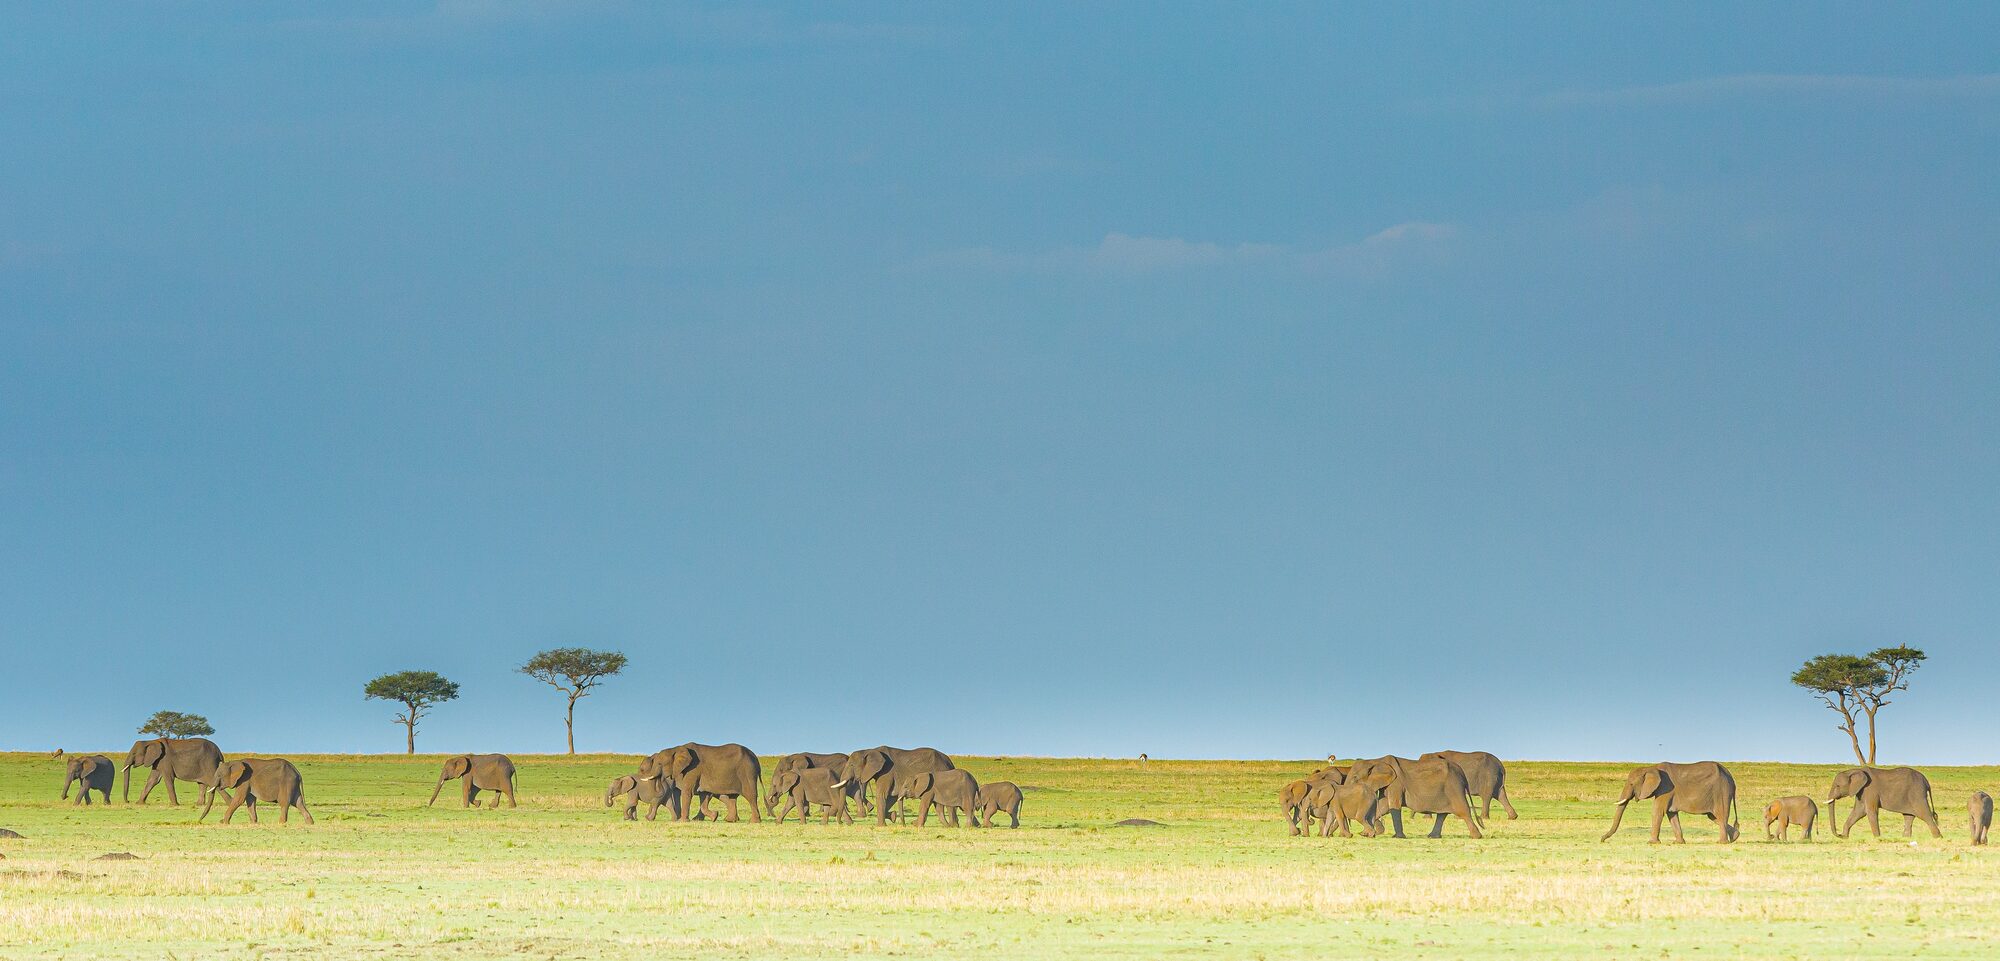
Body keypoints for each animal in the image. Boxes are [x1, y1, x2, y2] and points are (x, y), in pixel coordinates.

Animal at [1347, 755, 1483, 839]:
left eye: (1355, 778)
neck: (1376, 760)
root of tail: (1461, 771)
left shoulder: (1396, 783)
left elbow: (1393, 806)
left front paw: (1398, 837)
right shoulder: (1389, 785)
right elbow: (1384, 805)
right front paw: (1365, 834)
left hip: (1454, 787)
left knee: (1463, 811)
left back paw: (1476, 836)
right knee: (1442, 814)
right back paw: (1432, 836)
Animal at [1600, 761, 1738, 844]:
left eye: (1631, 784)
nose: (1602, 839)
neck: (1651, 767)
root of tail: (1731, 777)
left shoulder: (1665, 789)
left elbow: (1657, 811)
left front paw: (1652, 843)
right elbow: (1671, 814)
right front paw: (1678, 843)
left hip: (1722, 792)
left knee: (1721, 815)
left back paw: (1722, 842)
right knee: (1714, 817)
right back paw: (1735, 837)